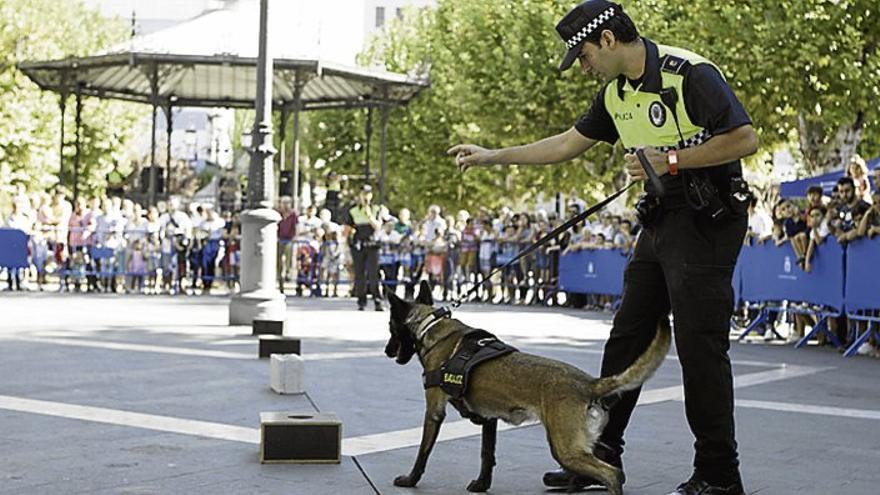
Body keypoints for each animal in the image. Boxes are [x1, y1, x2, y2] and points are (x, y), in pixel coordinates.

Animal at [382, 280, 672, 494]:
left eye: (390, 327)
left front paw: (410, 480)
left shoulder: (434, 412)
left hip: (565, 448)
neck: (432, 326)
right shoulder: (489, 419)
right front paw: (481, 485)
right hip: (573, 447)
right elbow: (487, 455)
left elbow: (423, 451)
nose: (386, 351)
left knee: (612, 474)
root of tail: (589, 383)